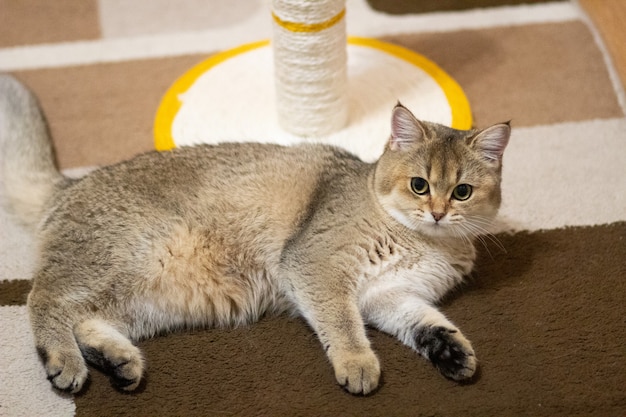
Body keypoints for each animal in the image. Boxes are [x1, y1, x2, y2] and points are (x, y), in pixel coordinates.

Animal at [1, 73, 508, 394]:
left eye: (462, 192)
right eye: (419, 185)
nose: (438, 212)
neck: (425, 242)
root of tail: (68, 184)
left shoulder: (389, 295)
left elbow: (423, 321)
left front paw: (451, 351)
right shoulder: (315, 267)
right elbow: (342, 323)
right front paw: (357, 363)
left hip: (147, 299)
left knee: (86, 318)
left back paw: (118, 361)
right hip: (126, 257)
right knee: (43, 298)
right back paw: (63, 361)